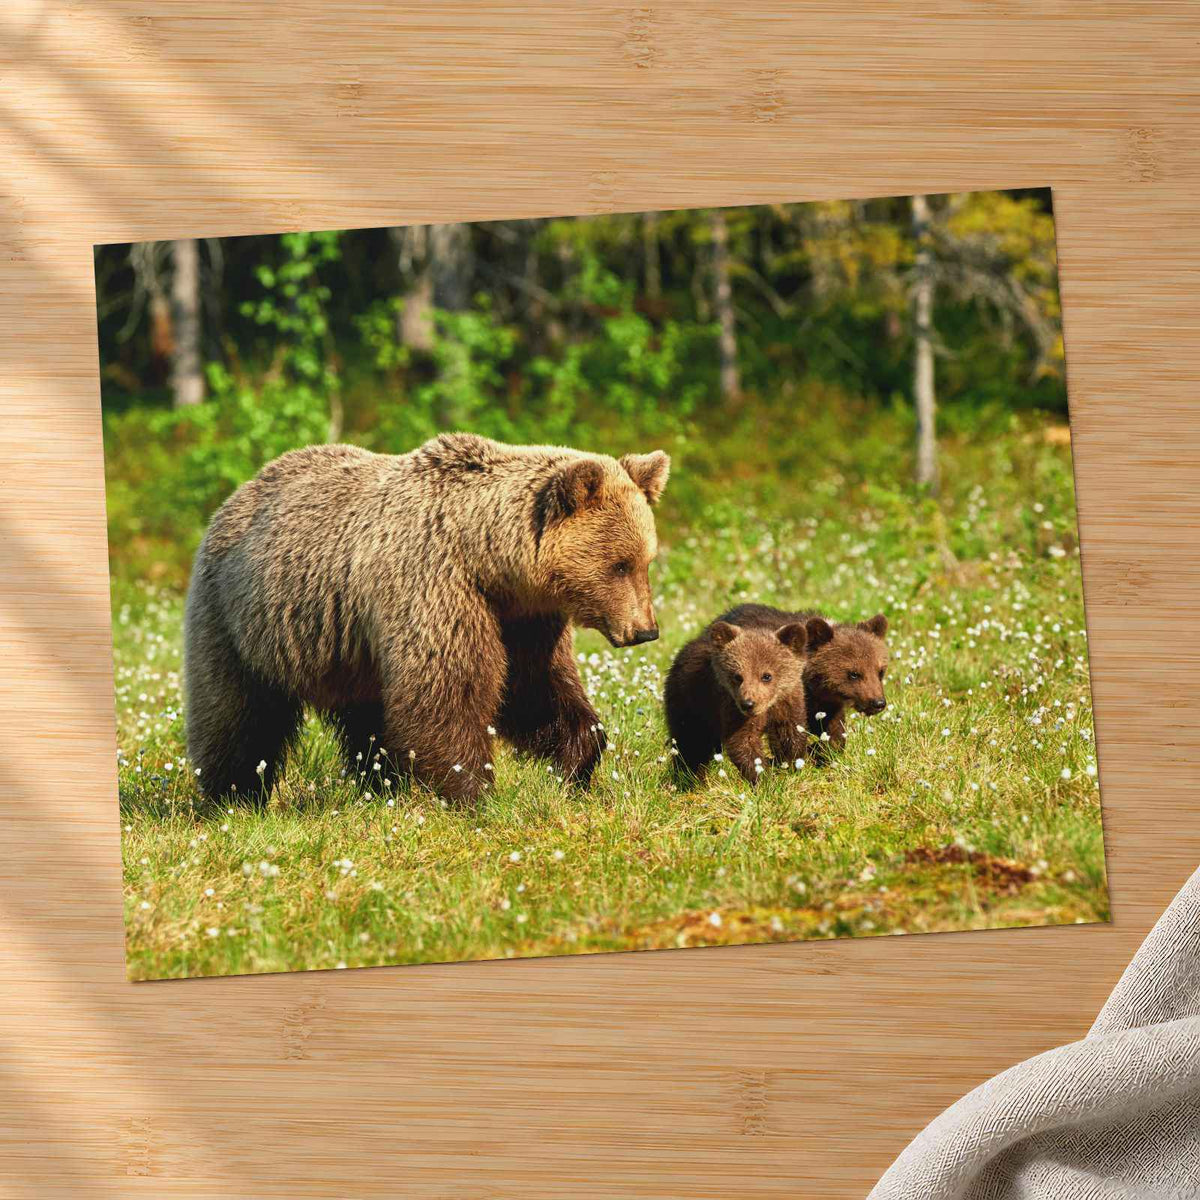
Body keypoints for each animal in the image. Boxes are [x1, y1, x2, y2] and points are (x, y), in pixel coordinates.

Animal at [183, 433, 670, 806]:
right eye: (619, 564)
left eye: (646, 560)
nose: (645, 630)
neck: (486, 558)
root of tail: (238, 493)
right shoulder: (434, 585)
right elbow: (448, 689)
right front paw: (474, 790)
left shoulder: (523, 617)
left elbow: (534, 688)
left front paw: (579, 760)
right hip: (239, 618)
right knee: (237, 713)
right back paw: (233, 795)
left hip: (348, 653)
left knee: (367, 721)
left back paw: (379, 786)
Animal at [664, 617, 808, 785]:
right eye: (737, 676)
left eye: (767, 676)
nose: (748, 704)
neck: (768, 705)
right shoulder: (730, 705)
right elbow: (743, 741)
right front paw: (762, 778)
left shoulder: (787, 701)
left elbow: (790, 731)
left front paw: (791, 765)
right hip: (691, 703)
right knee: (691, 743)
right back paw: (689, 778)